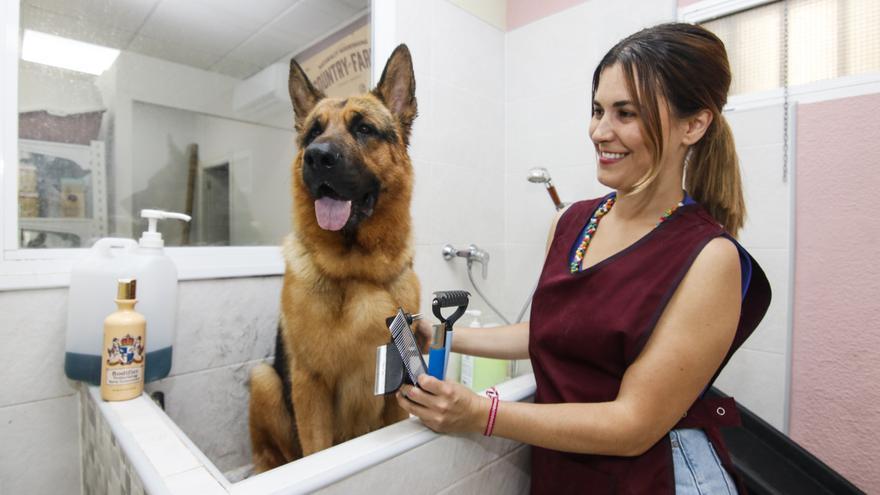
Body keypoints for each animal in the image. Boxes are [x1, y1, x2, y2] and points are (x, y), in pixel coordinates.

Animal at [248, 43, 422, 472]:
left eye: (364, 129)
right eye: (313, 132)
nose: (317, 156)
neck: (356, 271)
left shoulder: (396, 394)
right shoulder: (311, 386)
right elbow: (317, 449)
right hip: (264, 380)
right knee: (272, 455)